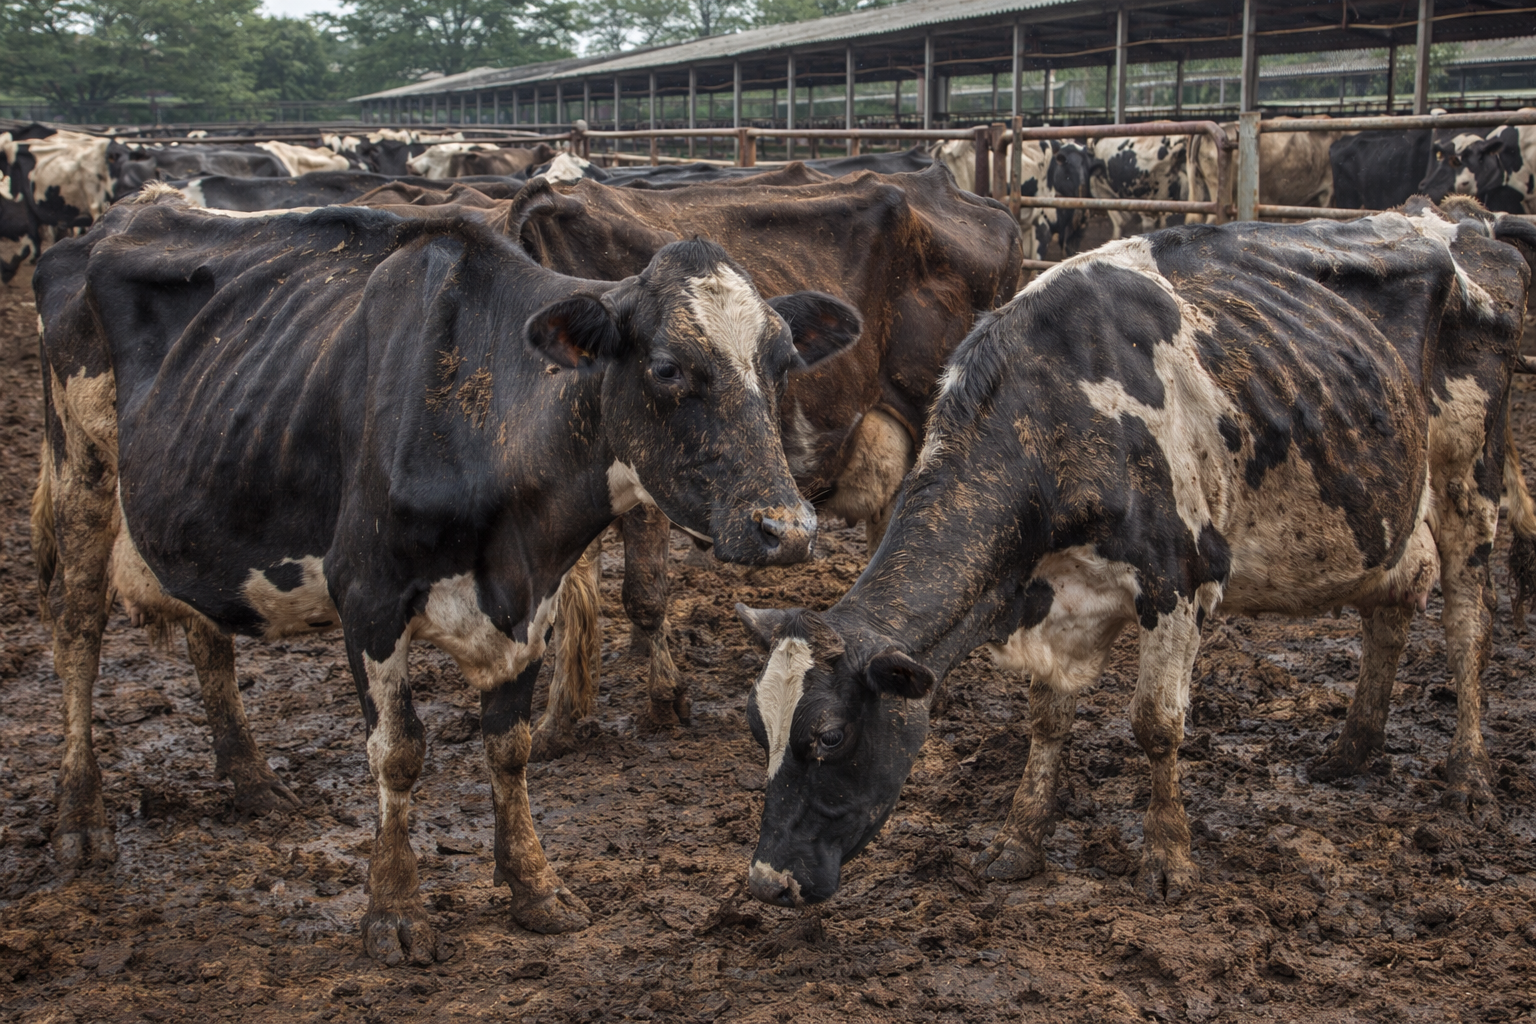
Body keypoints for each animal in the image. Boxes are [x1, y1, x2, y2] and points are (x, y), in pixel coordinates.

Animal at [32, 182, 861, 964]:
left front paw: (533, 885)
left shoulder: (532, 600)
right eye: (665, 367)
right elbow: (398, 752)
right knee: (76, 634)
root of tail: (123, 215)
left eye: (783, 363)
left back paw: (252, 780)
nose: (788, 529)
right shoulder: (367, 592)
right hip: (82, 469)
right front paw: (395, 909)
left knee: (208, 632)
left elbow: (510, 746)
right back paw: (79, 820)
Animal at [732, 197, 1536, 909]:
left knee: (1468, 622)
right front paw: (1019, 840)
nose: (768, 882)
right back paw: (1352, 749)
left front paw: (1168, 858)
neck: (1056, 410)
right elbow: (1047, 718)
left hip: (1470, 472)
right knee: (1395, 598)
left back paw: (1469, 776)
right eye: (757, 728)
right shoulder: (1056, 598)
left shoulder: (1179, 581)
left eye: (829, 736)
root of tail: (1465, 219)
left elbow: (1156, 724)